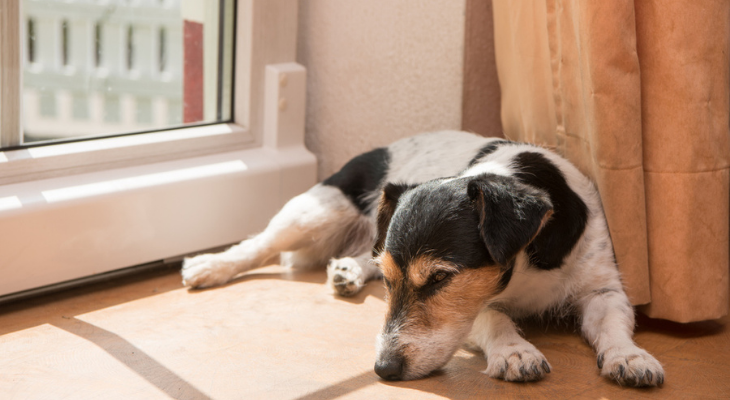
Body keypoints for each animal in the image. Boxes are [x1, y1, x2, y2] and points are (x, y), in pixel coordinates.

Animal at [179, 131, 664, 388]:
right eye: (396, 284)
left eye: (438, 279)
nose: (382, 370)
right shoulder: (476, 307)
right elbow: (494, 317)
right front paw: (515, 350)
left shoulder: (603, 289)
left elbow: (614, 326)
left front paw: (630, 357)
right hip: (314, 211)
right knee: (260, 243)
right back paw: (208, 266)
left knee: (364, 251)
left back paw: (347, 270)